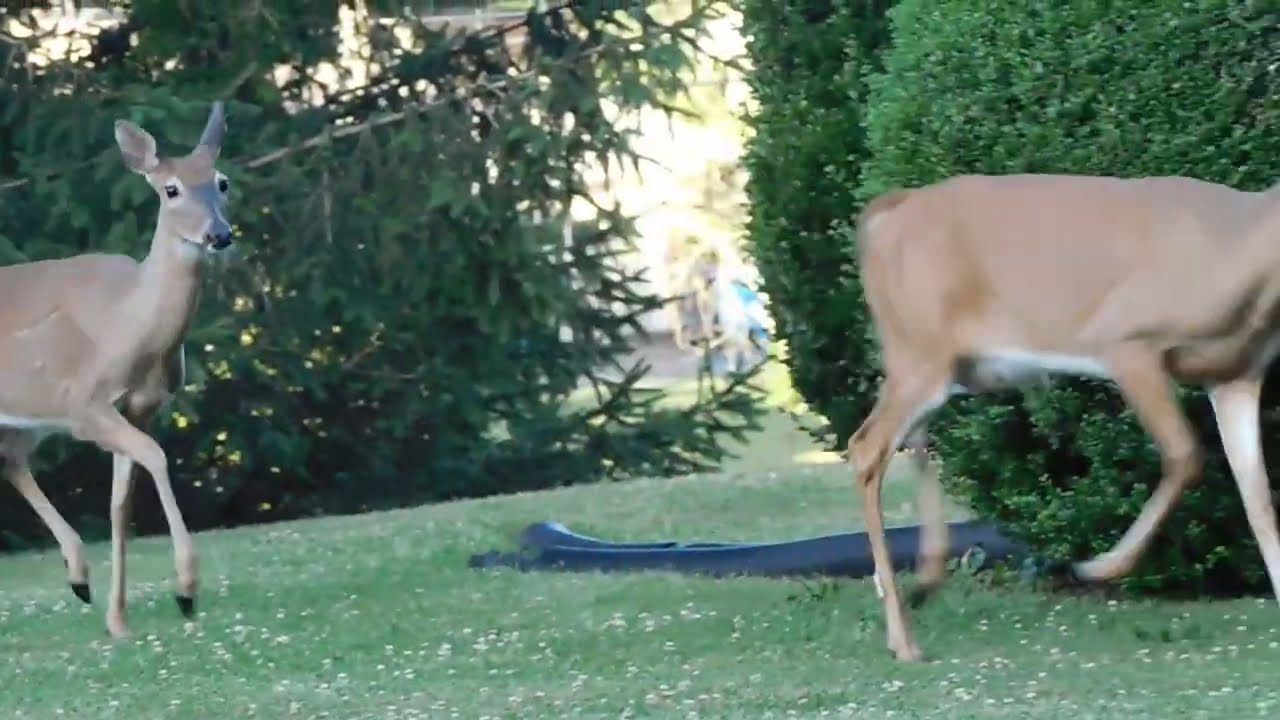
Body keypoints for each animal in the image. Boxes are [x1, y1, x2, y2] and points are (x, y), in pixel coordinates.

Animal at [0, 101, 233, 638]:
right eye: (171, 189)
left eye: (222, 182)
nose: (219, 235)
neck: (131, 325)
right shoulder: (83, 403)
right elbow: (157, 458)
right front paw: (185, 589)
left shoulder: (139, 407)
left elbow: (120, 506)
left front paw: (119, 620)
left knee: (11, 460)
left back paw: (79, 576)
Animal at [850, 172, 1280, 662]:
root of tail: (884, 214)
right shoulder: (1127, 341)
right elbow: (1187, 455)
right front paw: (1098, 566)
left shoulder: (1237, 376)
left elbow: (1257, 498)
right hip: (921, 354)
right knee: (867, 447)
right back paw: (905, 640)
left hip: (934, 361)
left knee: (912, 439)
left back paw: (924, 581)